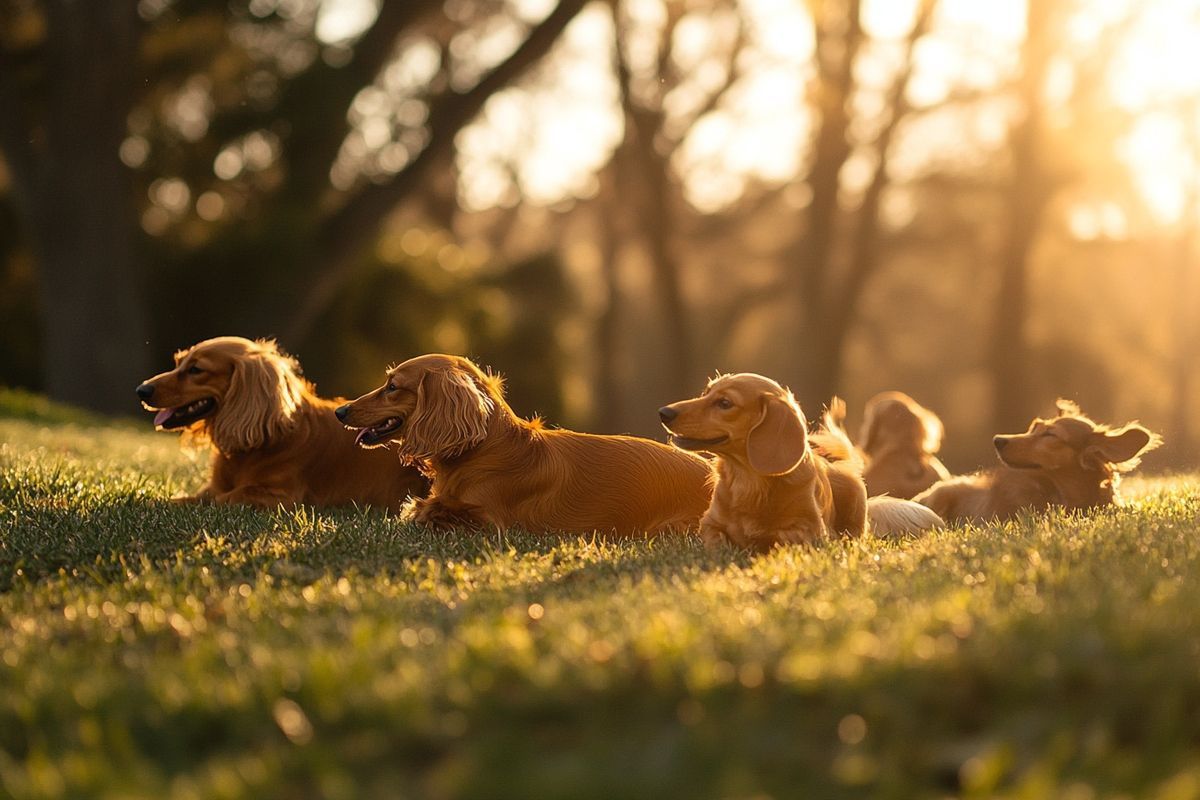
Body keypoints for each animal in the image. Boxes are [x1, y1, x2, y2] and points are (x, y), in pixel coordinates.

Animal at [137, 335, 427, 510]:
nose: (142, 390)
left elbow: (221, 499)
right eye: (179, 363)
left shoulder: (278, 496)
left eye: (196, 370)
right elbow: (192, 497)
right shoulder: (212, 487)